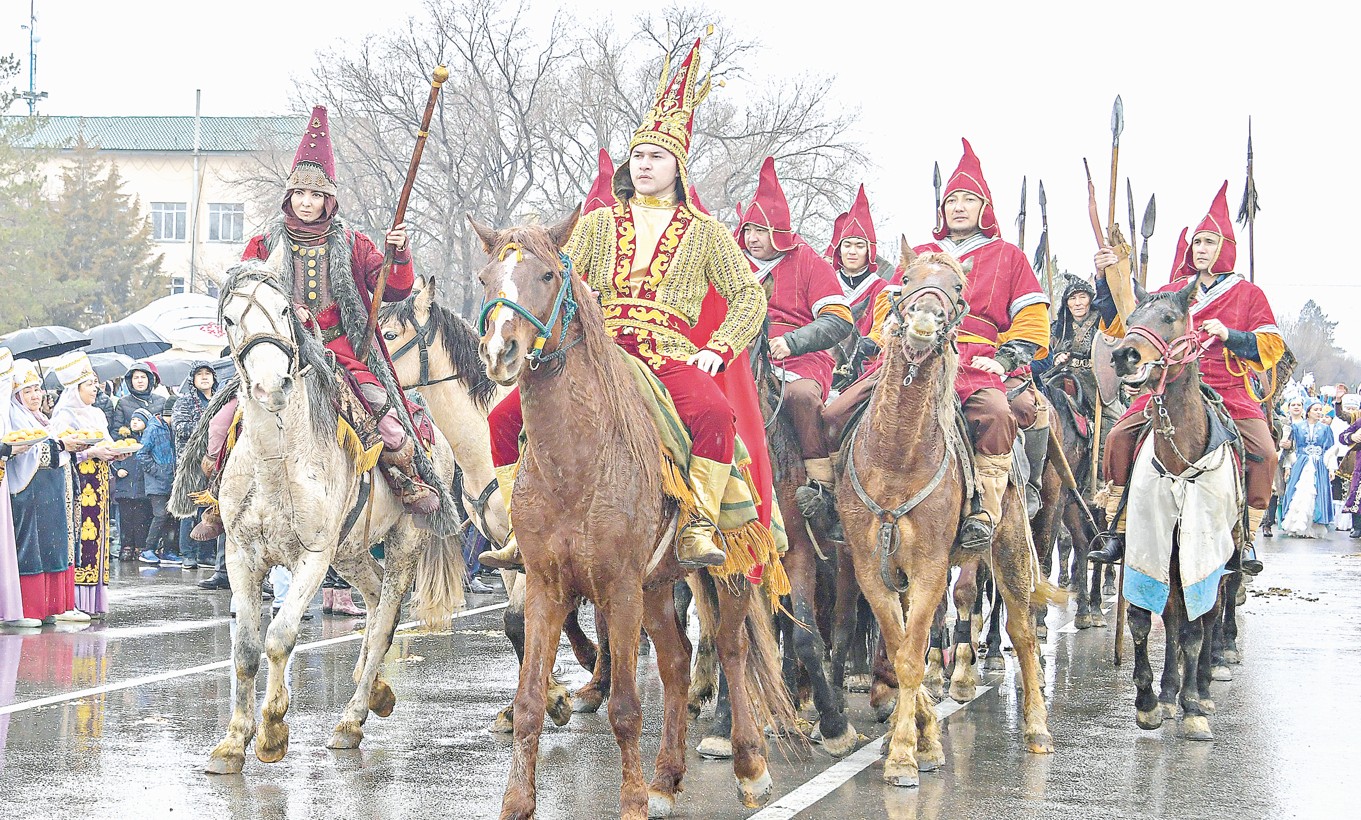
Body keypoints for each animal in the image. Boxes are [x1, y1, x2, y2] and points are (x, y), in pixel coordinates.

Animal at [197, 262, 462, 773]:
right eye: (230, 317)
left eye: (284, 310)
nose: (271, 386)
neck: (277, 459)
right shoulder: (242, 556)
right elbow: (245, 648)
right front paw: (233, 741)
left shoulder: (313, 558)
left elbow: (280, 637)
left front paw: (272, 730)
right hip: (352, 551)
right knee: (376, 599)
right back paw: (374, 687)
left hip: (401, 543)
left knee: (384, 621)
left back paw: (351, 720)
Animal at [473, 213, 794, 811]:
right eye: (485, 278)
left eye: (548, 274)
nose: (501, 351)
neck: (574, 463)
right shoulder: (548, 585)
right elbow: (529, 702)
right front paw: (516, 803)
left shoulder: (618, 585)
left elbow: (624, 708)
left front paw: (632, 805)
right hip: (657, 587)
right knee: (676, 661)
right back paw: (666, 777)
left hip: (726, 573)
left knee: (732, 648)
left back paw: (748, 763)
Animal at [827, 250, 1061, 784]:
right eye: (907, 280)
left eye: (956, 289)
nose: (924, 320)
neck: (897, 458)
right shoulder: (873, 568)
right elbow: (899, 647)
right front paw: (918, 734)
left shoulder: (932, 566)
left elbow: (912, 657)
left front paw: (906, 753)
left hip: (1012, 550)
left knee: (1023, 633)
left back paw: (1037, 727)